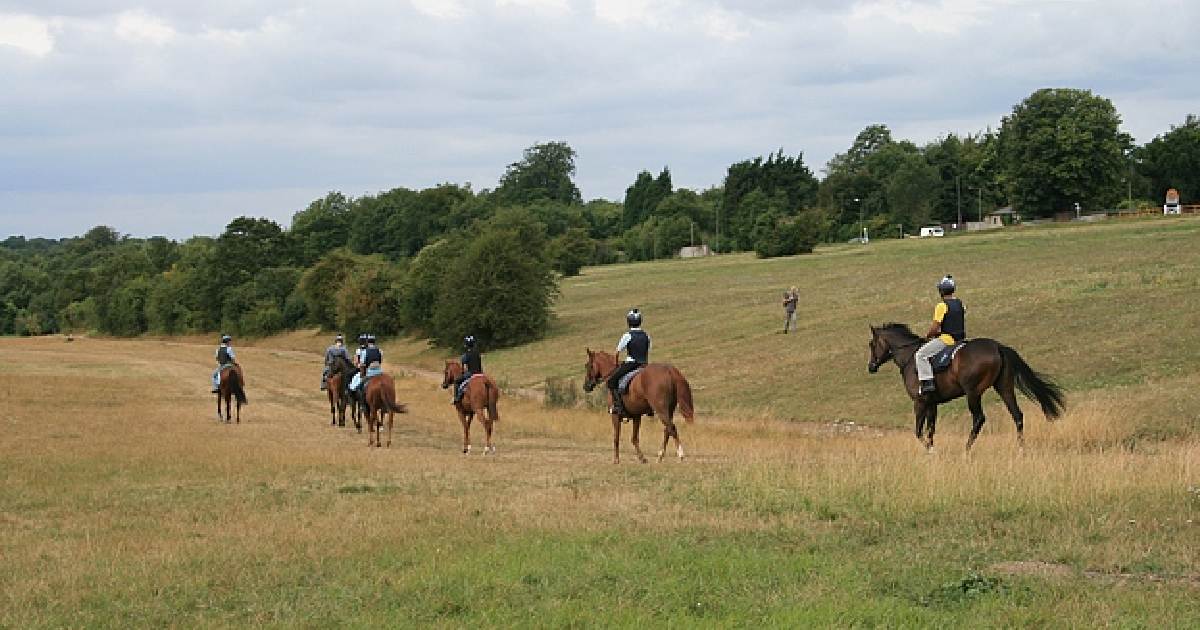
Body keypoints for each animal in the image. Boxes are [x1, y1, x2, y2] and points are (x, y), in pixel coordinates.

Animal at [868, 324, 1065, 451]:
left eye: (871, 344)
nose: (871, 367)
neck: (910, 357)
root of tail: (998, 346)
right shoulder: (932, 404)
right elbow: (931, 430)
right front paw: (930, 452)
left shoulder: (920, 402)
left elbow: (918, 432)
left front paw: (931, 451)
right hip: (1004, 388)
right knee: (1017, 415)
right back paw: (1021, 448)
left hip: (973, 393)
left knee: (979, 418)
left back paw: (967, 449)